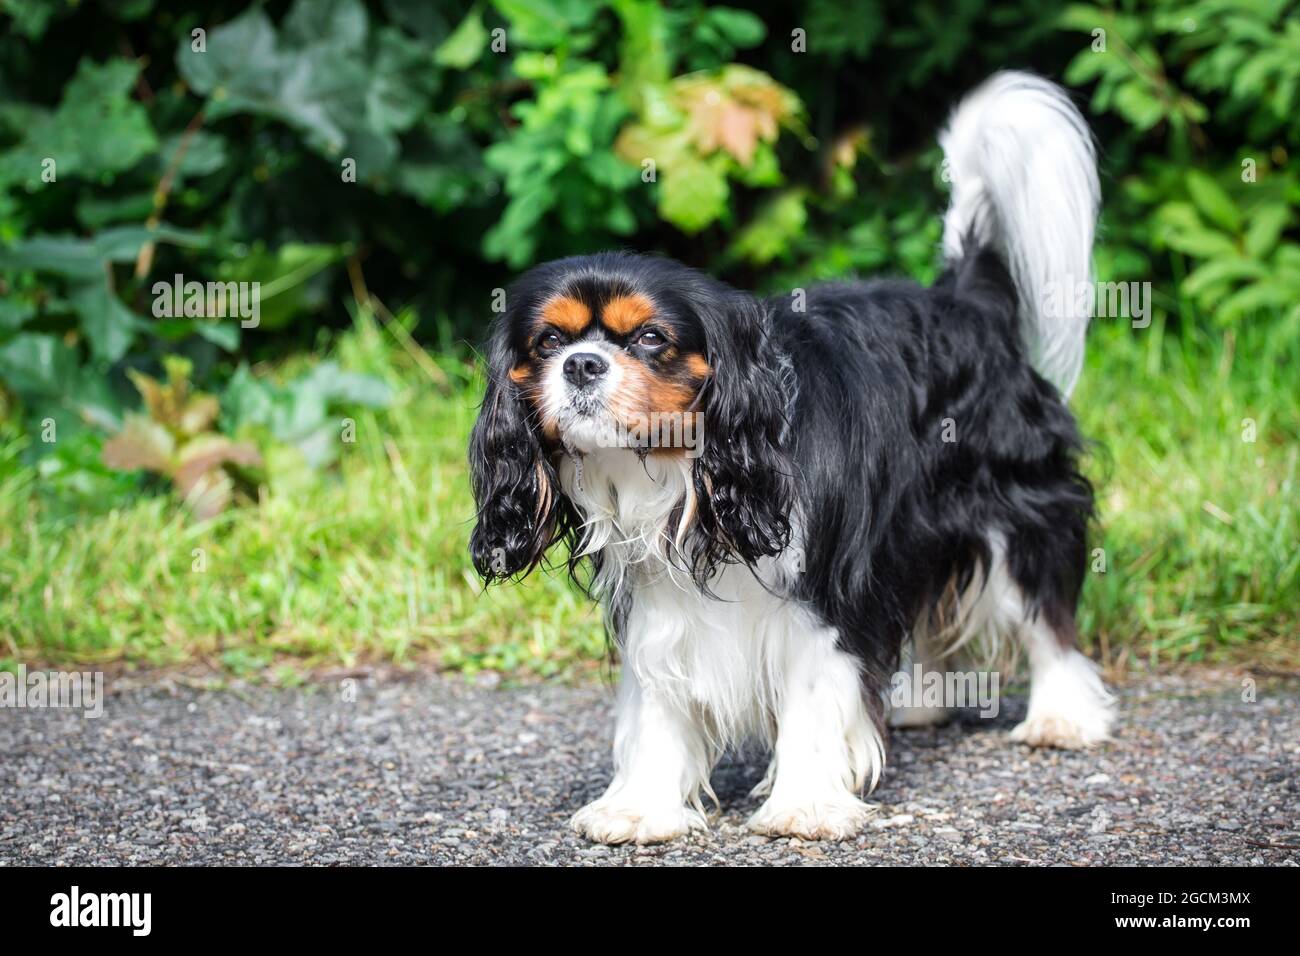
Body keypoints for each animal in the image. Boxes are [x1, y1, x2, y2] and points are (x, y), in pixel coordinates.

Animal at [473, 70, 1112, 842]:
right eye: (547, 344)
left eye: (651, 339)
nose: (583, 365)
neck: (690, 470)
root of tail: (962, 299)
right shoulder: (658, 598)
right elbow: (657, 708)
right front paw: (640, 807)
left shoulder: (821, 590)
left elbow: (812, 700)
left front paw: (803, 805)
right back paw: (923, 700)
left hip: (1013, 499)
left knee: (1044, 609)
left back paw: (1062, 715)